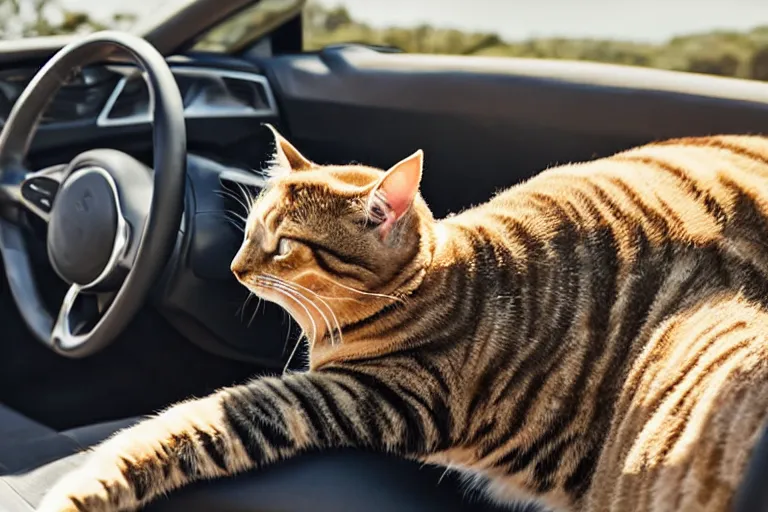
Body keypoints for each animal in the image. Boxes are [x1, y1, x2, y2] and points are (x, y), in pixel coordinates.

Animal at [37, 125, 768, 512]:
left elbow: (176, 431)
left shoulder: (367, 393)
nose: (236, 269)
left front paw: (75, 490)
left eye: (283, 244)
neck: (439, 275)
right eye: (247, 230)